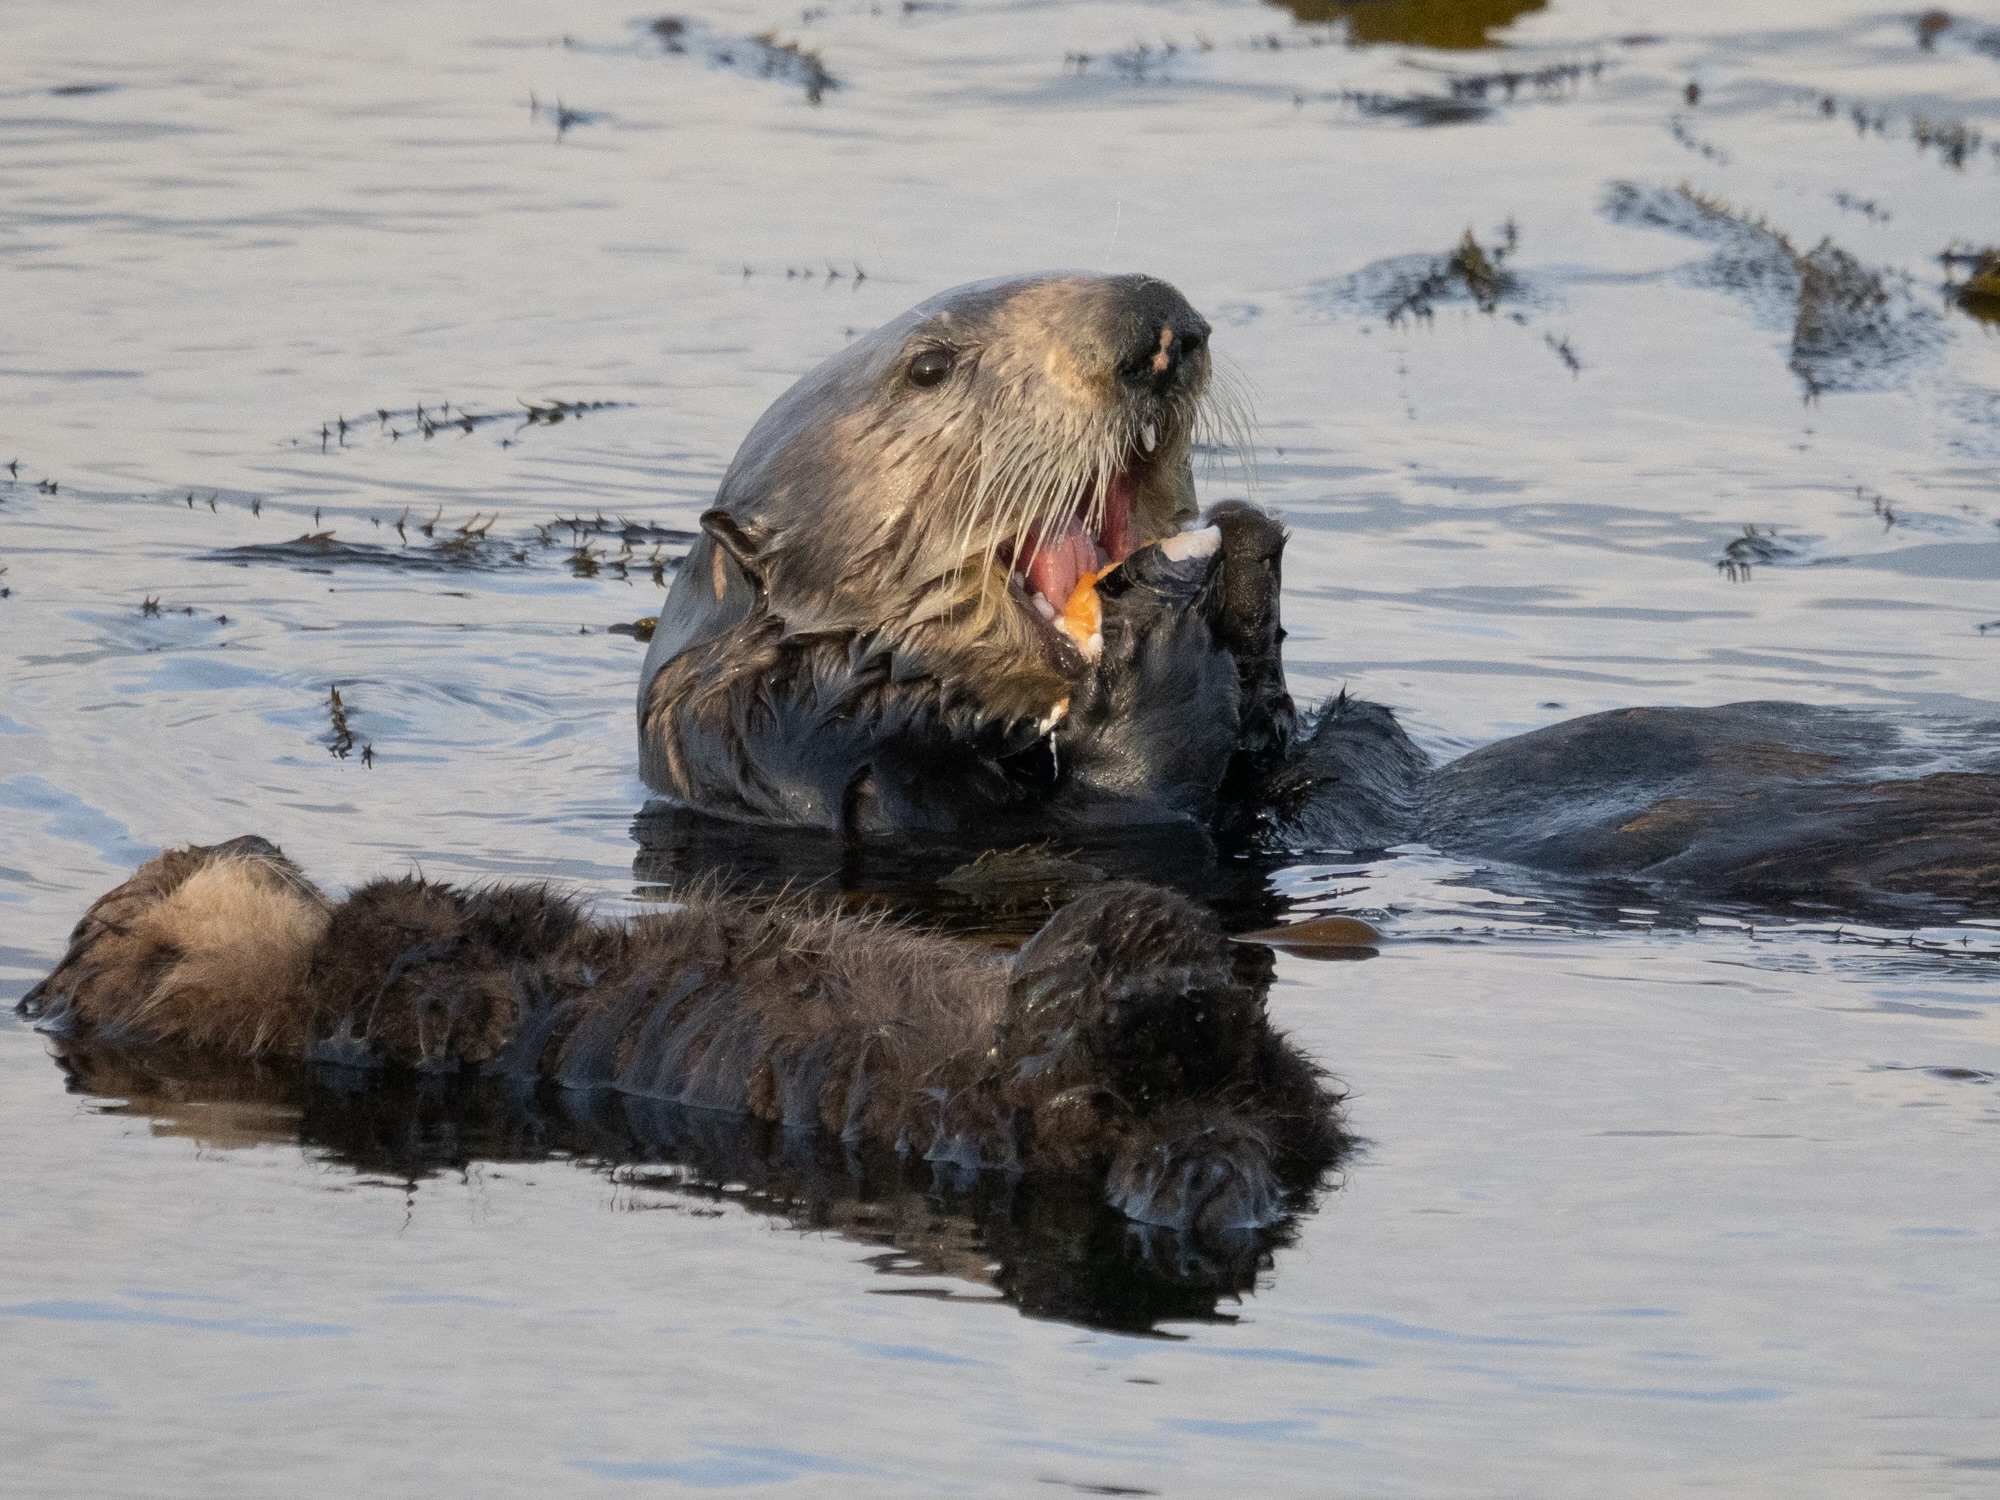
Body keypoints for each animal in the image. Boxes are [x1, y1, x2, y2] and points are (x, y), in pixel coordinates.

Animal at [19, 840, 1344, 1240]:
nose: (250, 842)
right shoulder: (373, 1038)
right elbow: (411, 980)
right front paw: (392, 903)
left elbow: (509, 932)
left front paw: (472, 899)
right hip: (1046, 1105)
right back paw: (1144, 971)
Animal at [636, 276, 2000, 924]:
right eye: (927, 367)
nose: (1157, 326)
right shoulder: (852, 781)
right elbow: (1133, 824)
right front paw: (1160, 650)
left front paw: (1244, 574)